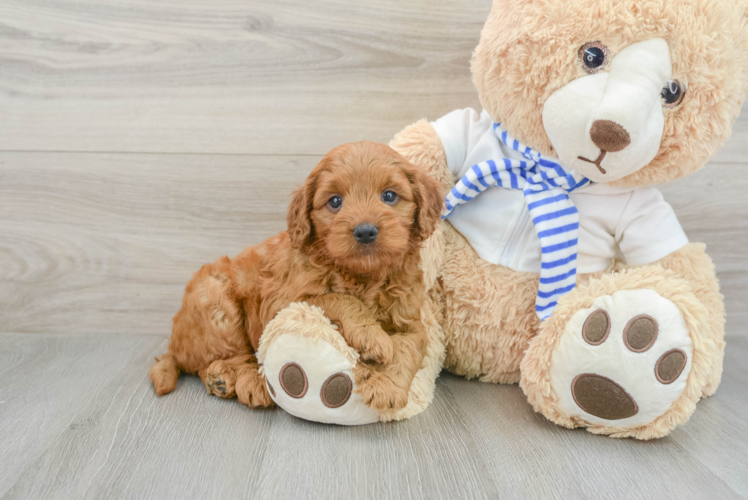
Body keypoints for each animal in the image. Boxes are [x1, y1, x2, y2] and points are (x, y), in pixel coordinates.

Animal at [150, 141, 448, 410]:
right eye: (335, 201)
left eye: (389, 196)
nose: (365, 231)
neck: (363, 276)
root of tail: (174, 341)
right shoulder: (284, 303)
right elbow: (339, 299)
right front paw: (372, 337)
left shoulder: (410, 320)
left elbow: (409, 347)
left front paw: (387, 386)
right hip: (216, 303)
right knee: (232, 355)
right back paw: (245, 381)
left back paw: (219, 380)